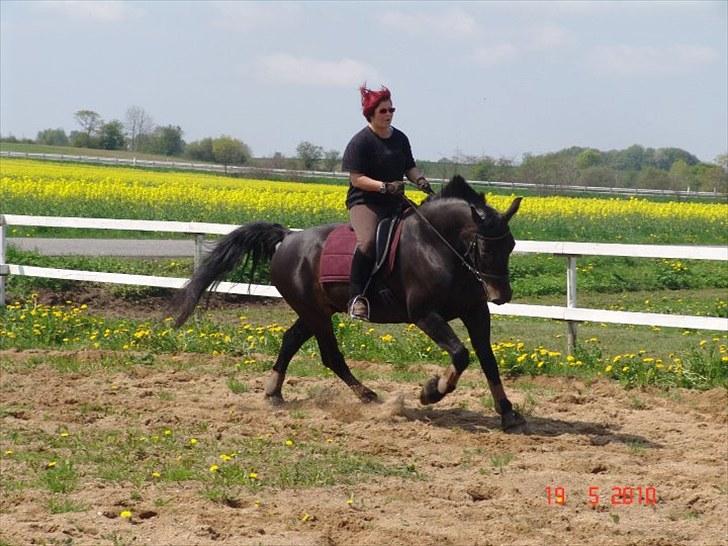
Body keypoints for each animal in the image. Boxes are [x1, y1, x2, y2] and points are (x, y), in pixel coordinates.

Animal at [173, 174, 528, 430]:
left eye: (511, 244)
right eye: (485, 247)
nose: (501, 296)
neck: (438, 246)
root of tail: (288, 238)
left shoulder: (475, 312)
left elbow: (487, 359)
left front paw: (508, 413)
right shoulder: (425, 314)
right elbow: (460, 354)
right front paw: (431, 392)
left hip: (314, 311)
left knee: (291, 340)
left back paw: (274, 393)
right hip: (316, 313)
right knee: (330, 355)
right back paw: (369, 396)